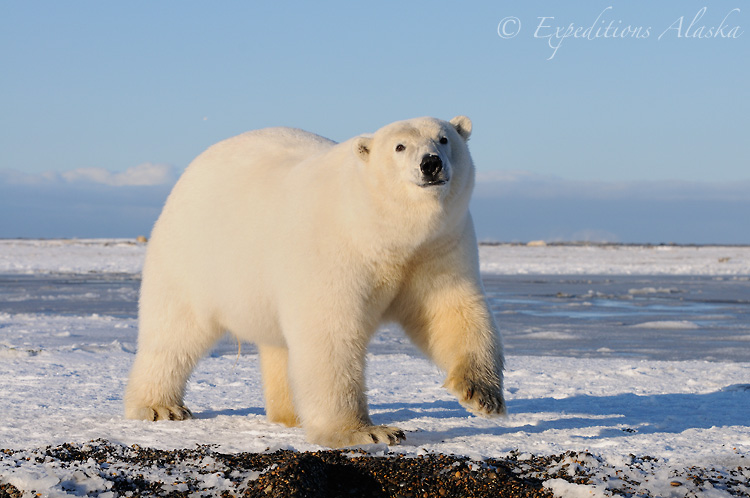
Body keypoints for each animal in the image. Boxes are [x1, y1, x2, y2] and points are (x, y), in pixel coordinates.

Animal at [124, 116, 506, 448]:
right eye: (399, 146)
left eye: (444, 139)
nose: (431, 164)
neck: (381, 229)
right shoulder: (335, 247)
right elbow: (331, 332)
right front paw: (366, 432)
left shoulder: (438, 248)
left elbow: (453, 311)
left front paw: (480, 395)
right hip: (192, 257)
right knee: (173, 332)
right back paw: (159, 406)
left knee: (278, 345)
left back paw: (290, 413)